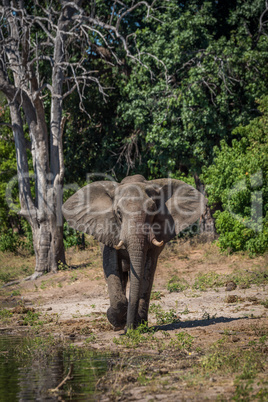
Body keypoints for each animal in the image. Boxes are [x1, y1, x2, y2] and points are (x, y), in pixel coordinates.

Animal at [61, 175, 206, 330]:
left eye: (153, 210)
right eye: (118, 212)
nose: (129, 330)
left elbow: (147, 269)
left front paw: (138, 325)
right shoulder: (108, 232)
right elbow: (111, 266)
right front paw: (117, 320)